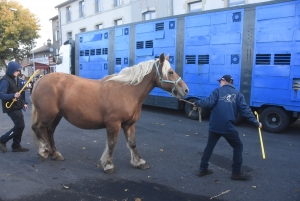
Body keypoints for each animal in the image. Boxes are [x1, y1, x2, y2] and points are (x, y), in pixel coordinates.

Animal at [31, 53, 189, 173]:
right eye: (170, 72)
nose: (186, 90)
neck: (127, 91)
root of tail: (40, 80)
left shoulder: (129, 125)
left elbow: (132, 143)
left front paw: (139, 162)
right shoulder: (114, 124)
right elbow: (112, 144)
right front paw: (108, 165)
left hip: (56, 116)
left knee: (49, 131)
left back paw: (55, 154)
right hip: (48, 115)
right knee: (37, 128)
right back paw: (44, 151)